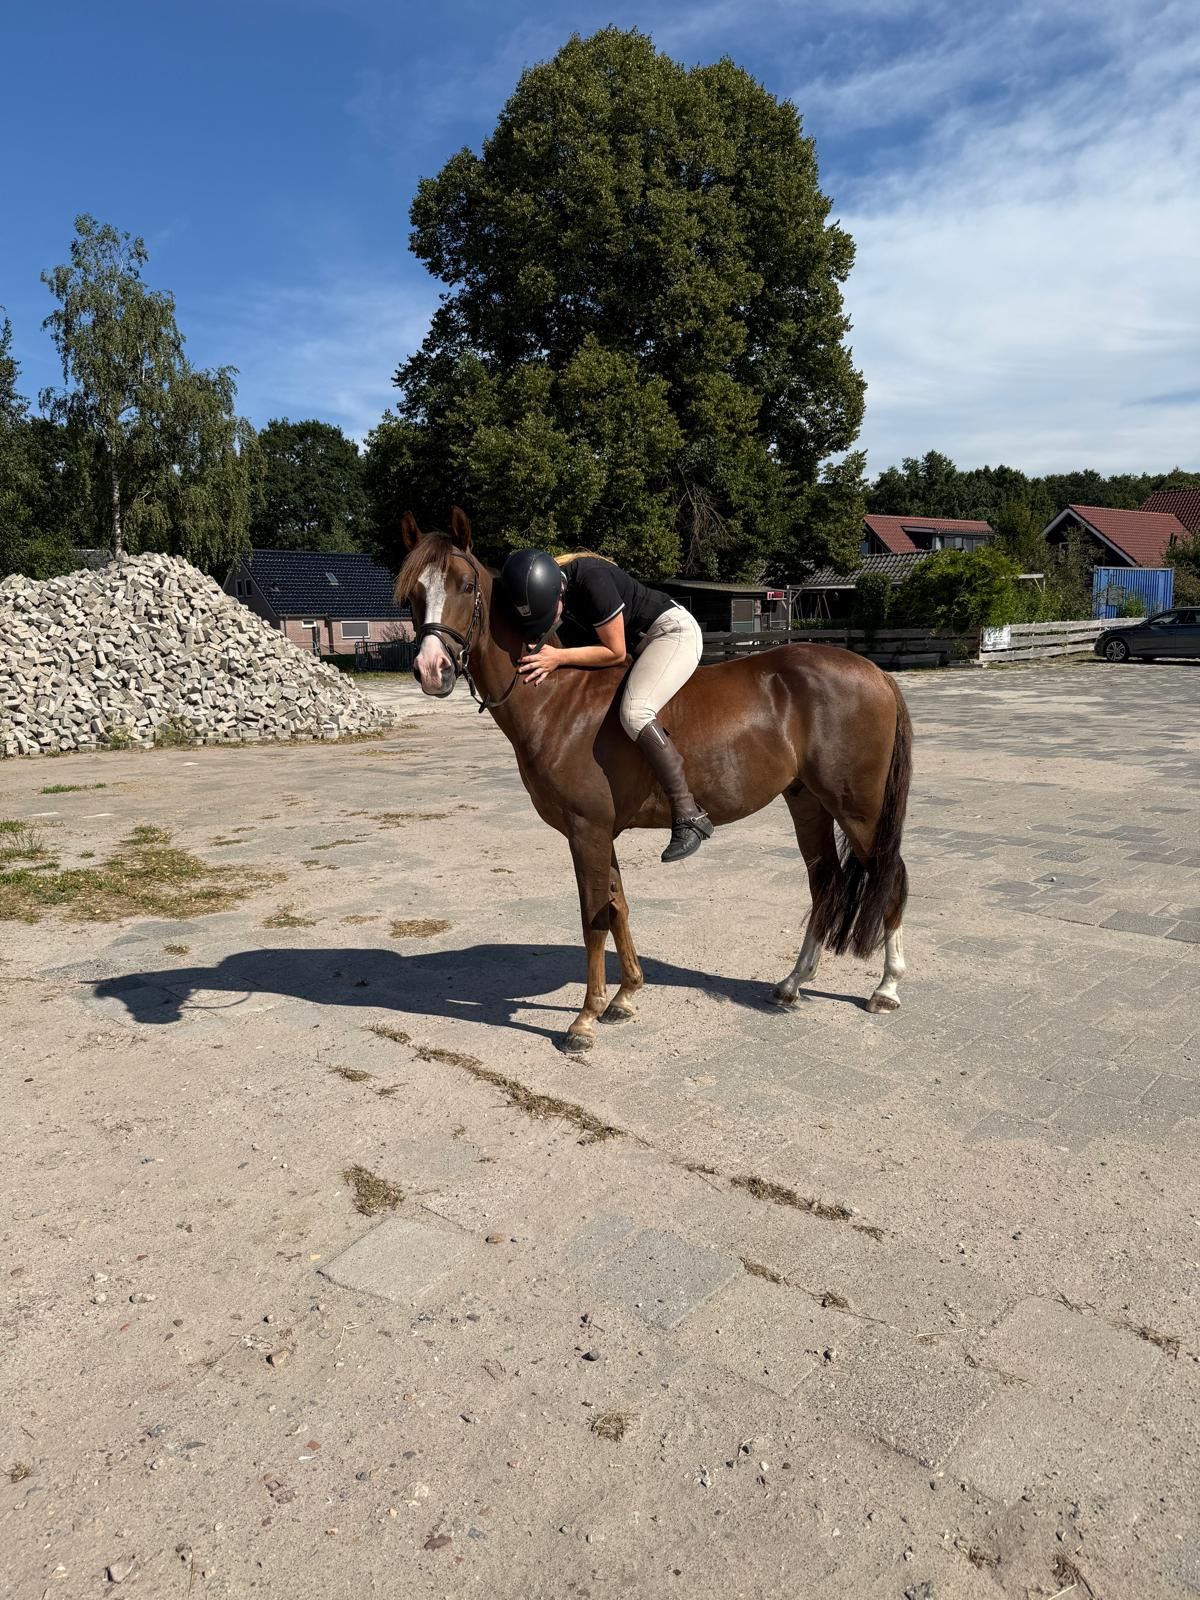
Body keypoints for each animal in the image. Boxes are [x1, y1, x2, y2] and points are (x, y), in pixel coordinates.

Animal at [396, 508, 912, 1055]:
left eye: (465, 584)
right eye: (411, 593)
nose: (432, 669)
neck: (556, 700)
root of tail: (875, 672)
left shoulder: (586, 831)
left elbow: (594, 917)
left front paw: (584, 1019)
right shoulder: (600, 833)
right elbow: (618, 907)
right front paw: (624, 997)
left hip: (859, 809)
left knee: (891, 877)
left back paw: (886, 989)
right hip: (807, 802)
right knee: (825, 884)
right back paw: (793, 983)